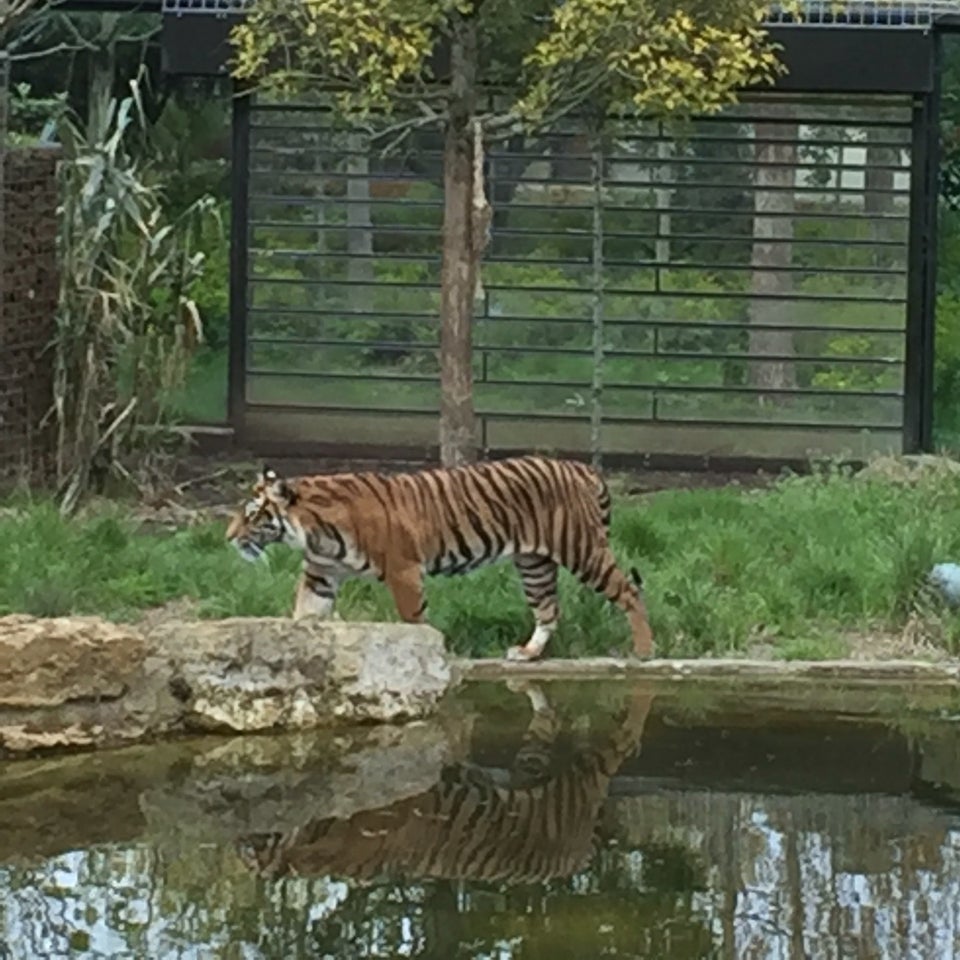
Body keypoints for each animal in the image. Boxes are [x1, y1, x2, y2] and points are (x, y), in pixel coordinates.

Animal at [225, 452, 652, 660]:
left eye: (252, 515)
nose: (227, 537)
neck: (315, 532)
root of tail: (582, 468)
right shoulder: (321, 574)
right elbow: (304, 613)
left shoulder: (403, 570)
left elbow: (414, 621)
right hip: (534, 563)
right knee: (548, 609)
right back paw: (528, 654)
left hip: (581, 549)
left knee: (629, 592)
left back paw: (644, 652)